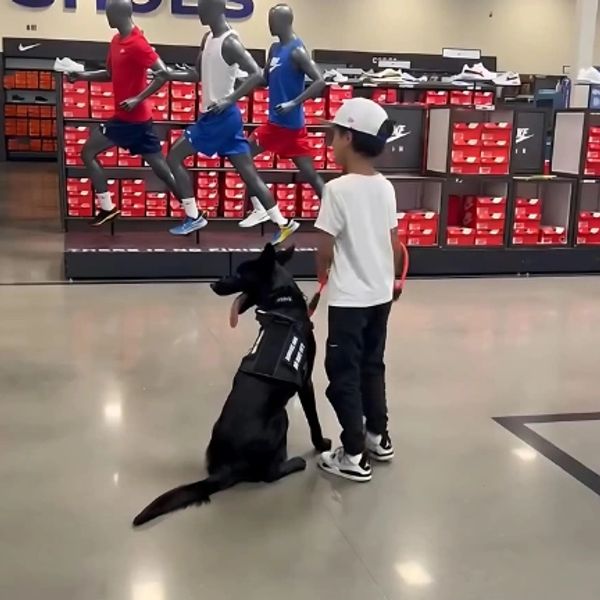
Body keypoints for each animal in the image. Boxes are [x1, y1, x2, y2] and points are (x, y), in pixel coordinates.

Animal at [134, 244, 330, 524]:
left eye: (238, 274)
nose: (213, 284)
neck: (282, 304)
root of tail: (224, 470)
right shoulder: (306, 382)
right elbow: (314, 419)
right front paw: (321, 444)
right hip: (281, 418)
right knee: (269, 474)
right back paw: (295, 464)